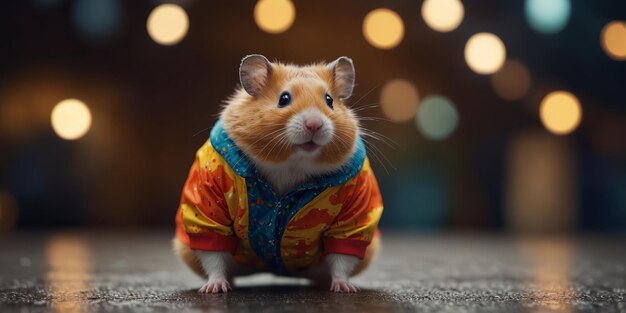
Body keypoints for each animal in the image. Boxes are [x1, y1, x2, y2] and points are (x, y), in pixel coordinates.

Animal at [173, 54, 382, 292]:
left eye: (329, 100)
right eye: (284, 99)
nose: (315, 124)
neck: (291, 164)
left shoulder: (353, 218)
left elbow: (342, 258)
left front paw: (344, 288)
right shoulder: (208, 210)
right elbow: (213, 255)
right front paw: (214, 288)